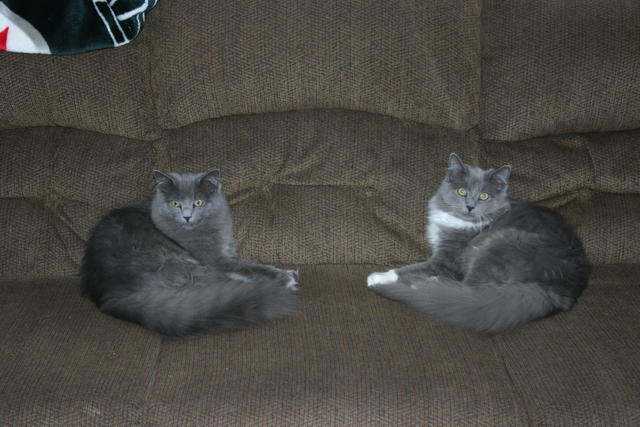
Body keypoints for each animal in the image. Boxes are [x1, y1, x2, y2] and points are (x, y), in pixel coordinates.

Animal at [80, 169, 299, 337]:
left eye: (198, 203)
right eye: (175, 203)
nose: (186, 216)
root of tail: (108, 296)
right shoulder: (216, 259)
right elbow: (250, 268)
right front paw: (285, 276)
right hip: (181, 263)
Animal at [367, 153, 590, 334]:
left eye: (484, 196)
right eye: (462, 192)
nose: (470, 207)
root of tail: (563, 289)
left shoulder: (447, 259)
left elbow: (411, 268)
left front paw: (379, 277)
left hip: (498, 246)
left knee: (467, 289)